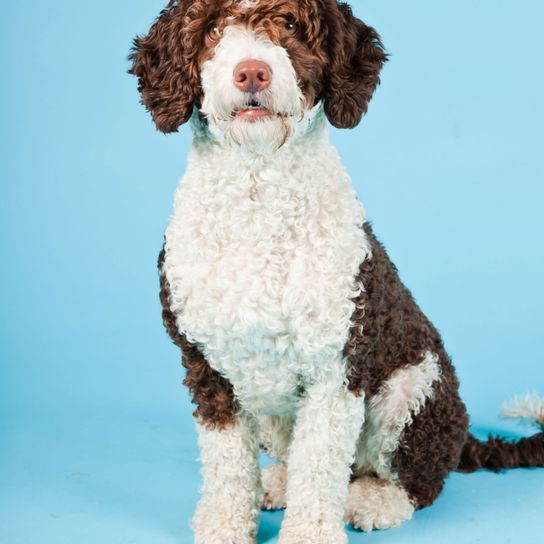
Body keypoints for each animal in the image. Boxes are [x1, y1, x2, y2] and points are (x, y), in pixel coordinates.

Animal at [129, 2, 544, 540]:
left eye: (289, 25)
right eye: (213, 30)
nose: (252, 71)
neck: (258, 196)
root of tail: (462, 437)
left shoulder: (337, 368)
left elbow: (320, 466)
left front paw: (309, 533)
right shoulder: (207, 367)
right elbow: (226, 466)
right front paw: (224, 525)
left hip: (412, 389)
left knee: (413, 481)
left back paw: (373, 500)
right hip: (267, 404)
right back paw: (277, 482)